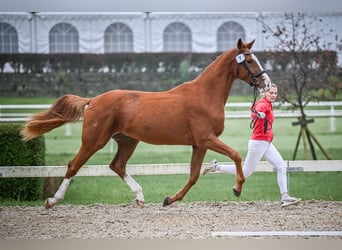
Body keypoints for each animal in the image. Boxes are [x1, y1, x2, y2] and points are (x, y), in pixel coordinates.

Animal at [22, 38, 272, 208]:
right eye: (250, 60)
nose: (266, 83)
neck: (205, 95)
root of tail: (93, 100)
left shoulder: (199, 144)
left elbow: (193, 176)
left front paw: (169, 199)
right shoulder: (206, 139)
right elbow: (236, 155)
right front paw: (237, 188)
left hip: (127, 141)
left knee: (117, 166)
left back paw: (140, 197)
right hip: (94, 141)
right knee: (74, 166)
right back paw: (52, 201)